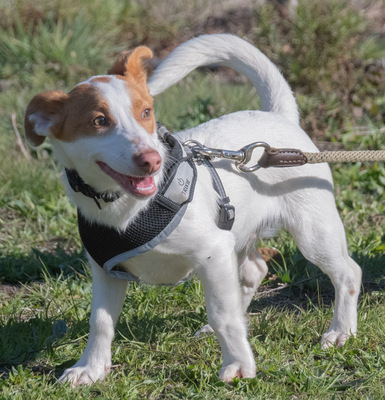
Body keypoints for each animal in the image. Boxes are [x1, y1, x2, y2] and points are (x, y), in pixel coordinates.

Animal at [24, 35, 360, 388]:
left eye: (146, 112)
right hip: (238, 235)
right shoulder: (106, 270)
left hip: (313, 232)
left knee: (348, 273)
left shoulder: (212, 252)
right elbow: (100, 322)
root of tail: (278, 116)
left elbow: (222, 313)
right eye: (98, 121)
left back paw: (341, 331)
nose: (152, 160)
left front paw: (238, 365)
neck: (126, 208)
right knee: (254, 271)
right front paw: (90, 367)